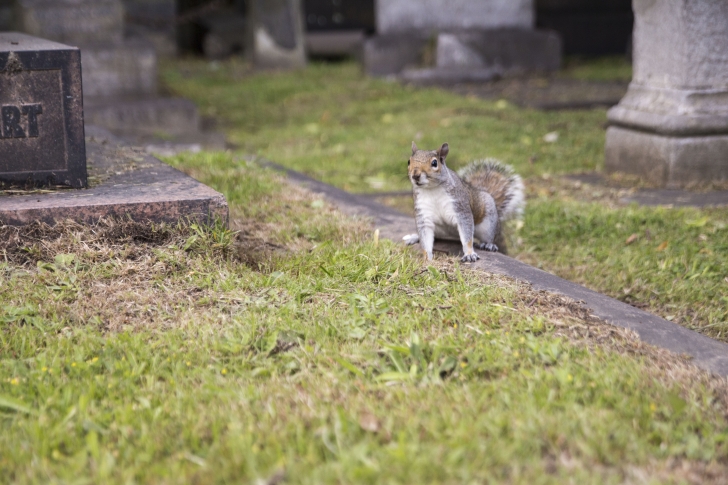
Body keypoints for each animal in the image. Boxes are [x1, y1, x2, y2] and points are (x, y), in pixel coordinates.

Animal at [400, 142, 528, 262]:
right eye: (408, 162)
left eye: (434, 163)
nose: (415, 175)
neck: (431, 190)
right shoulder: (423, 215)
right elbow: (425, 240)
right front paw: (427, 259)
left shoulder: (461, 209)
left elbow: (467, 237)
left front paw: (469, 254)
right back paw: (414, 237)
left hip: (488, 223)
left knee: (488, 236)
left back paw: (488, 244)